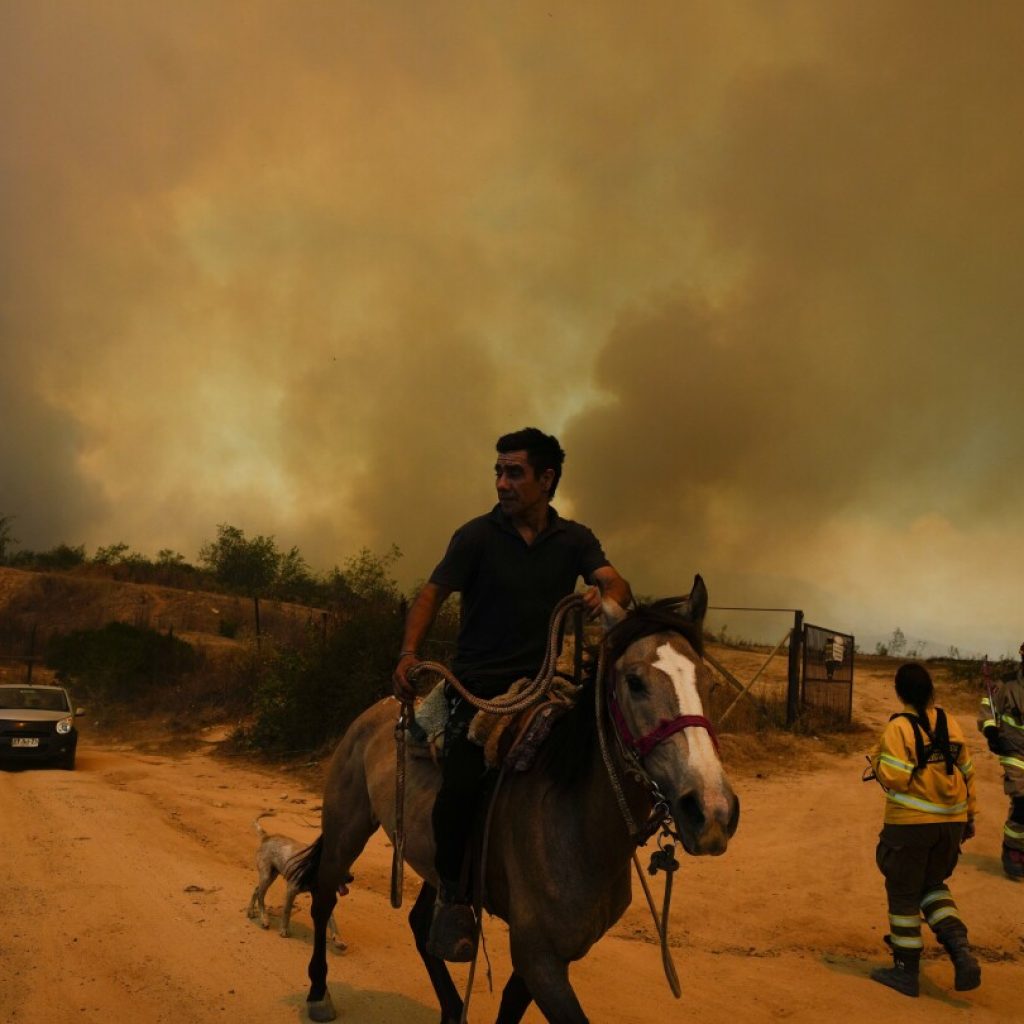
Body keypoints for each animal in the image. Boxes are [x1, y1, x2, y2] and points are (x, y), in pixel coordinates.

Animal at [294, 577, 737, 1024]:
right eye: (634, 682)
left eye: (708, 683)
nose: (711, 811)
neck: (578, 823)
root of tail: (378, 710)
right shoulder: (538, 956)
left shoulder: (551, 956)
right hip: (346, 829)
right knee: (323, 898)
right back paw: (318, 993)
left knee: (420, 924)